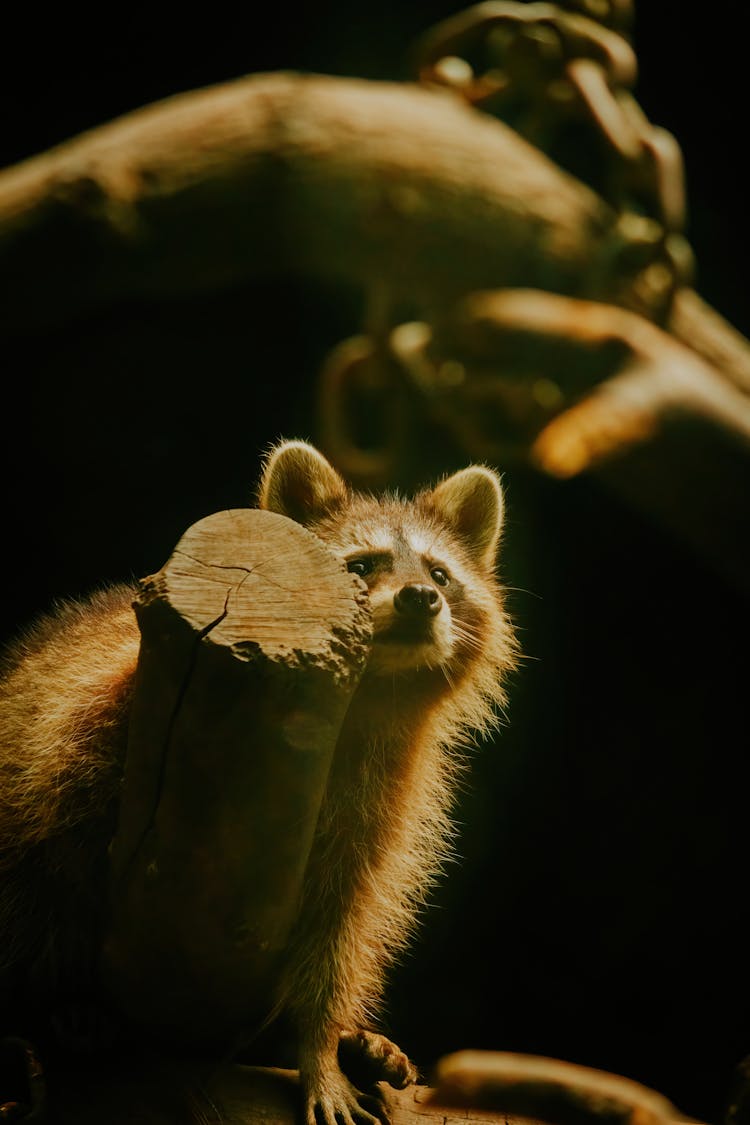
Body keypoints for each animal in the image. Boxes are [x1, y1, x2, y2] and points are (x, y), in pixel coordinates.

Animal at [0, 441, 517, 1125]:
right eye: (362, 564)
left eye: (440, 574)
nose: (419, 599)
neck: (362, 693)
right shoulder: (91, 720)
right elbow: (47, 849)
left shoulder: (383, 794)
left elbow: (343, 921)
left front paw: (318, 1041)